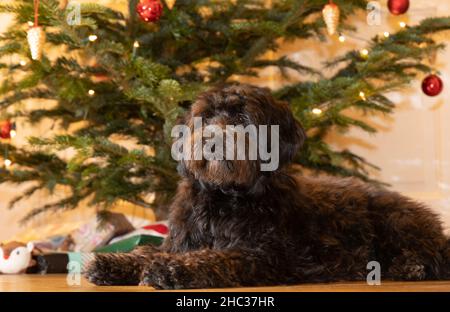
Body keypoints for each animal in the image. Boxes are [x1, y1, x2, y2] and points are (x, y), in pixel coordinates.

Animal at [87, 84, 450, 288]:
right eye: (205, 117)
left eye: (242, 118)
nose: (211, 140)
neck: (225, 198)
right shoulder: (181, 241)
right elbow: (145, 251)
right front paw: (112, 262)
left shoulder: (266, 254)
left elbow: (216, 258)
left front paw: (172, 270)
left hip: (395, 219)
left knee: (434, 257)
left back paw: (409, 267)